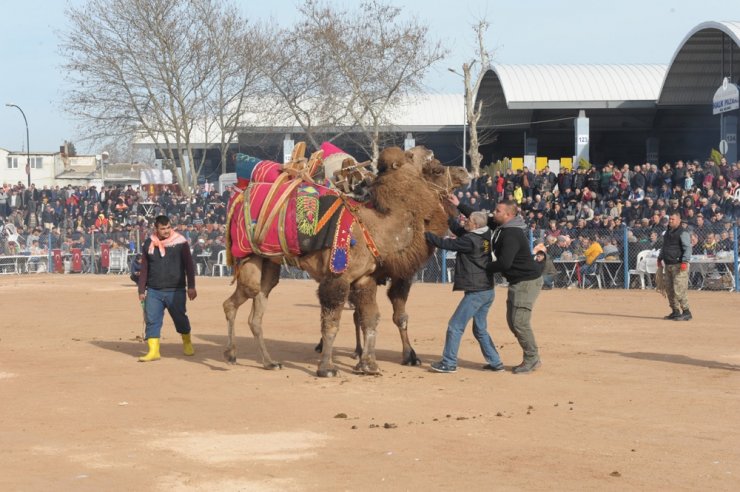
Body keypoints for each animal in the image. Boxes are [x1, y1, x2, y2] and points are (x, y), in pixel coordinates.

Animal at [221, 146, 468, 376]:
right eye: (434, 168)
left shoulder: (365, 279)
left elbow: (370, 318)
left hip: (269, 262)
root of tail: (238, 197)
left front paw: (369, 365)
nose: (463, 171)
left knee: (257, 309)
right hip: (247, 254)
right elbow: (332, 323)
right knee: (237, 300)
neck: (378, 228)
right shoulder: (338, 277)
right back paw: (231, 354)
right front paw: (327, 368)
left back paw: (269, 362)